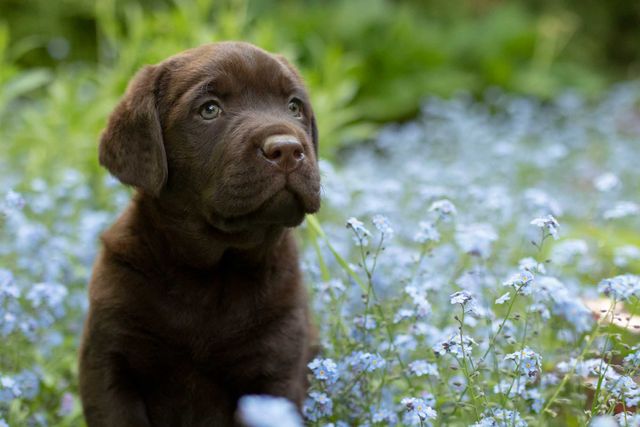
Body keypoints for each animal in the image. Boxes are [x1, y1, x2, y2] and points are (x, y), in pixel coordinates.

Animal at [80, 41, 320, 427]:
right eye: (209, 109)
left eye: (294, 107)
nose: (287, 149)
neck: (210, 276)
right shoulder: (107, 363)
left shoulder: (278, 368)